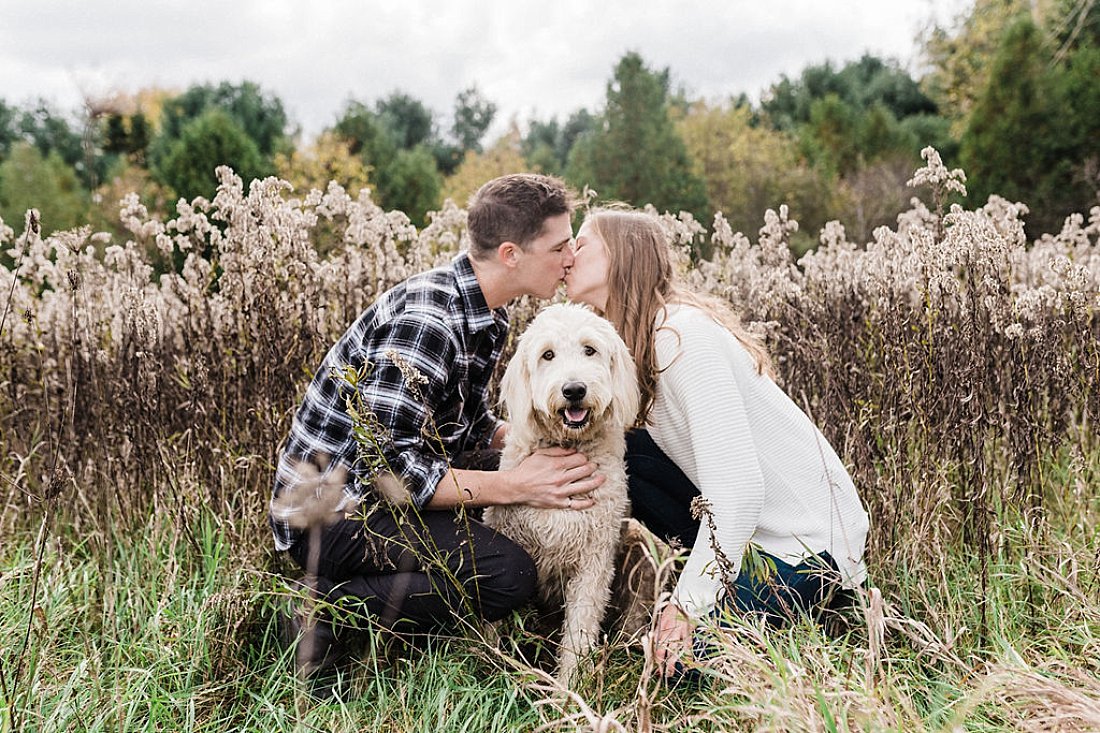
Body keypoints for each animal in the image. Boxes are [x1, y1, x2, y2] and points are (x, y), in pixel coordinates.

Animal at [486, 299, 642, 682]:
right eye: (548, 355)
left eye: (590, 349)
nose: (574, 390)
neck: (568, 445)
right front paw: (491, 662)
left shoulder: (594, 563)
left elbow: (580, 629)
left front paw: (568, 685)